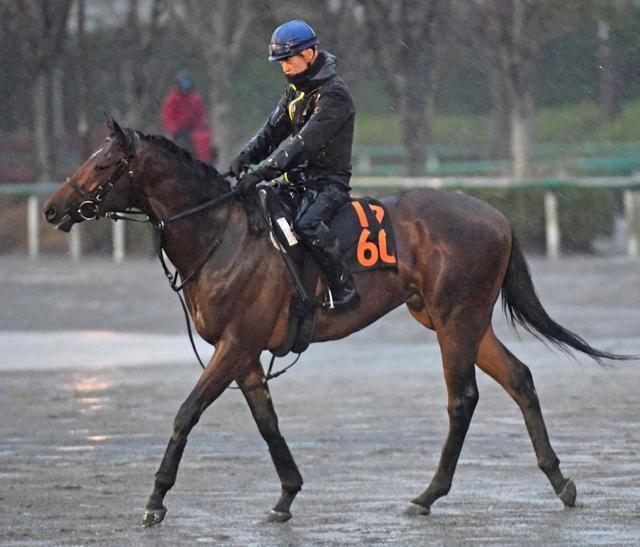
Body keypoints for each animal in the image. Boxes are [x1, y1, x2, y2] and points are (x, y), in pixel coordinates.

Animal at [43, 119, 631, 526]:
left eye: (102, 165)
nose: (52, 208)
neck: (221, 232)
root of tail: (495, 214)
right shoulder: (245, 353)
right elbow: (267, 422)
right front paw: (286, 494)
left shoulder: (234, 343)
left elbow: (186, 413)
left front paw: (155, 500)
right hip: (461, 320)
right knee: (519, 379)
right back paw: (559, 480)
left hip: (455, 320)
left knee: (463, 399)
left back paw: (429, 494)